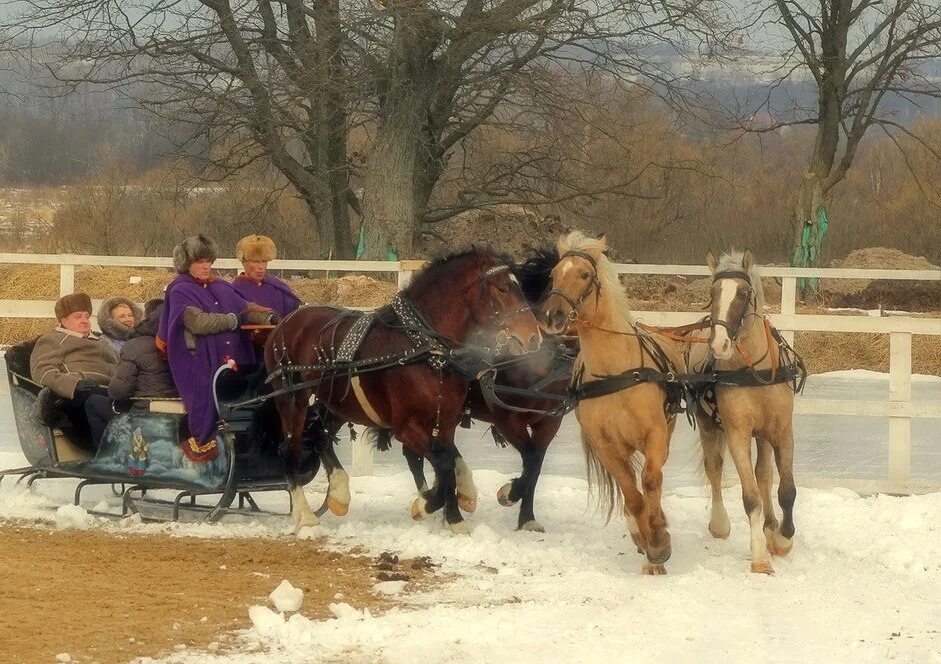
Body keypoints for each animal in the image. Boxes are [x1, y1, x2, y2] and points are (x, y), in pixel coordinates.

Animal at [268, 249, 540, 536]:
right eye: (502, 288)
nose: (534, 337)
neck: (424, 350)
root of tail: (286, 322)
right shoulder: (405, 426)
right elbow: (444, 465)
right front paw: (427, 504)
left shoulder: (446, 422)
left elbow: (449, 464)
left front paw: (453, 516)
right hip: (291, 398)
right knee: (289, 450)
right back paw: (305, 516)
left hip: (337, 401)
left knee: (320, 436)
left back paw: (338, 494)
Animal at [540, 231, 688, 572]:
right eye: (554, 274)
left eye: (585, 274)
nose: (552, 315)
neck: (615, 373)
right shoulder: (606, 446)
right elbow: (632, 494)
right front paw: (647, 539)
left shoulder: (655, 435)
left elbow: (650, 481)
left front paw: (659, 538)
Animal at [688, 252, 796, 572]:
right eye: (712, 292)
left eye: (744, 293)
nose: (719, 344)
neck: (753, 371)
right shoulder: (737, 435)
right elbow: (750, 497)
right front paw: (759, 555)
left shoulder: (782, 432)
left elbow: (785, 490)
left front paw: (782, 538)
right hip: (709, 425)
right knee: (714, 468)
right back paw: (720, 523)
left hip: (763, 434)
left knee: (765, 475)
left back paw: (771, 526)